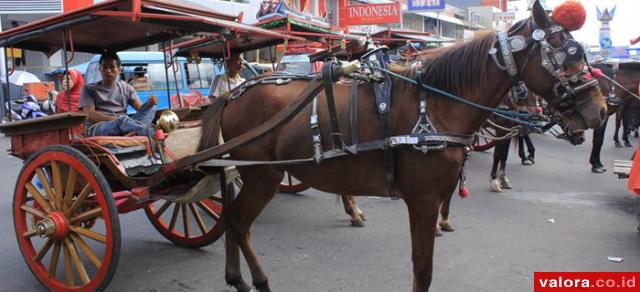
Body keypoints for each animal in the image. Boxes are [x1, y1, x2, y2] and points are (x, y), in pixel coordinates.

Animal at [200, 1, 604, 290]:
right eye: (568, 51)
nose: (600, 109)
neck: (436, 105)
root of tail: (233, 94)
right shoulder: (422, 198)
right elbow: (422, 269)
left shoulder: (435, 191)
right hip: (263, 177)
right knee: (238, 221)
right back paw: (257, 280)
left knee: (233, 219)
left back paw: (237, 278)